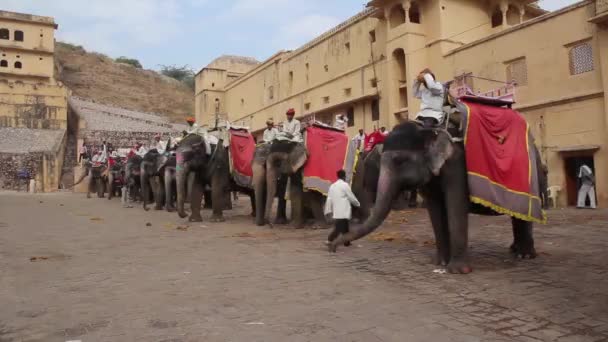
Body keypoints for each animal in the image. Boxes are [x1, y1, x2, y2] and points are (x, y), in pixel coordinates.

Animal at [330, 121, 548, 274]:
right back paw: (514, 250)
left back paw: (524, 256)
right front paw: (439, 263)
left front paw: (458, 271)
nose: (331, 247)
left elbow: (455, 205)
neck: (429, 130)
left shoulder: (457, 164)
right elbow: (435, 209)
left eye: (399, 161)